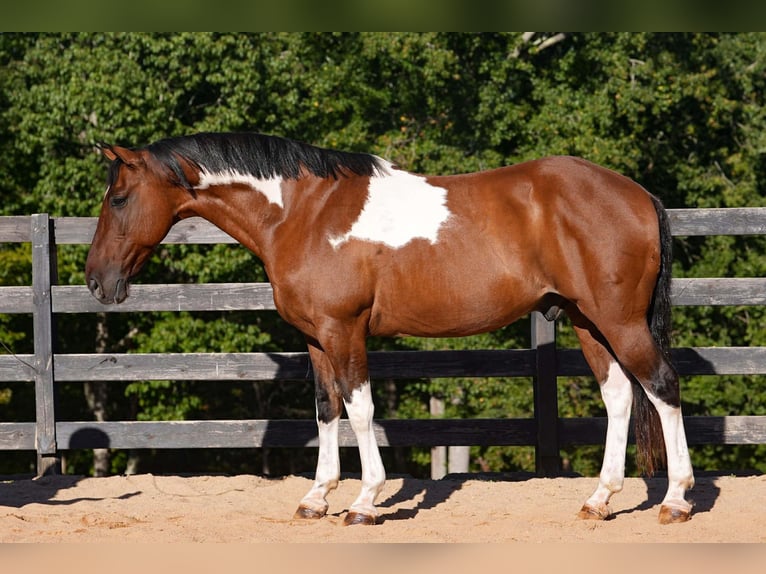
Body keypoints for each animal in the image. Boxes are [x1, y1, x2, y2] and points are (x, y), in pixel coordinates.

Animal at [85, 131, 694, 525]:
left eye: (119, 198)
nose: (96, 281)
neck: (305, 213)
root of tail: (639, 194)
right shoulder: (316, 338)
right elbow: (326, 408)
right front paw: (316, 498)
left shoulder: (344, 330)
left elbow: (360, 409)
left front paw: (363, 502)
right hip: (588, 322)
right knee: (619, 396)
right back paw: (600, 499)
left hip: (618, 320)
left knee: (662, 387)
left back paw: (676, 501)